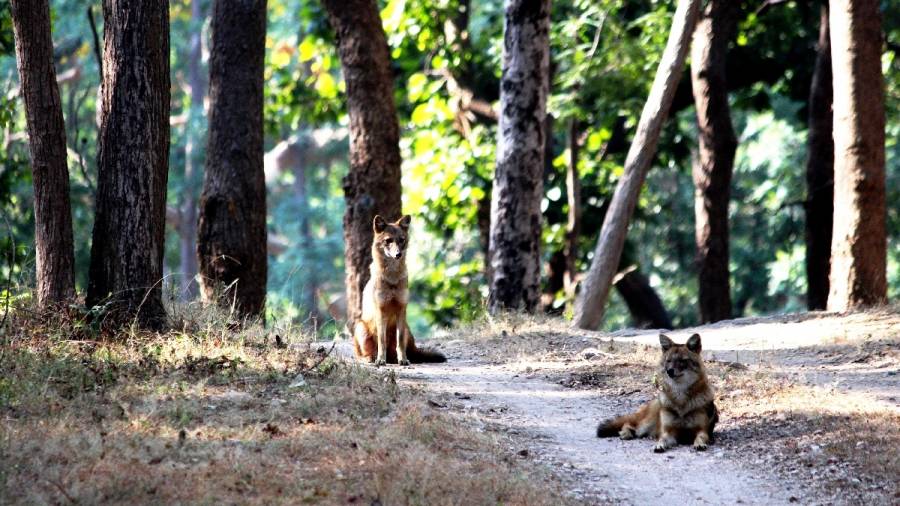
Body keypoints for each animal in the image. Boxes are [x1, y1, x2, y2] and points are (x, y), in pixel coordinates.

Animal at [354, 215, 448, 366]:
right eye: (388, 241)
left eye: (401, 240)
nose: (398, 254)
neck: (392, 277)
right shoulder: (381, 310)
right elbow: (381, 340)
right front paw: (381, 360)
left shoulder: (401, 309)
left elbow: (400, 341)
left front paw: (403, 359)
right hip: (360, 328)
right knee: (360, 354)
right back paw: (371, 359)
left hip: (407, 328)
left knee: (406, 352)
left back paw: (400, 359)